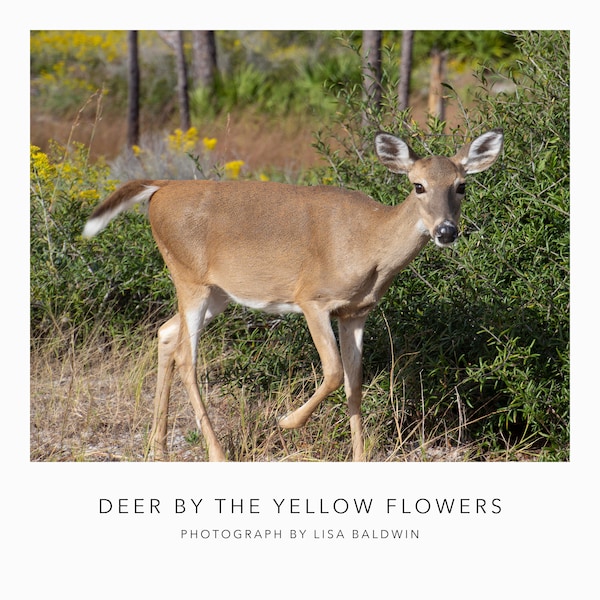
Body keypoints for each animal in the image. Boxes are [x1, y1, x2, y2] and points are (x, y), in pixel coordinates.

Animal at [82, 129, 504, 462]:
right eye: (418, 185)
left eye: (461, 185)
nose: (446, 231)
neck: (369, 246)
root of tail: (161, 188)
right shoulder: (312, 298)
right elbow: (333, 372)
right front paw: (286, 421)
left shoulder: (357, 312)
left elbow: (354, 382)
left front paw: (360, 457)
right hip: (188, 276)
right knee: (187, 355)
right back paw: (216, 453)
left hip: (218, 291)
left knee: (167, 333)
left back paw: (158, 448)